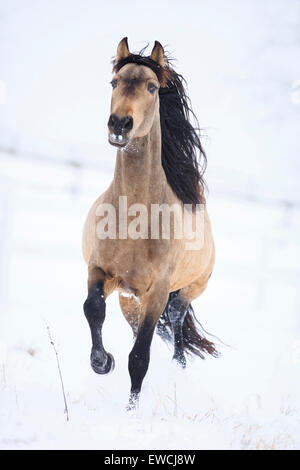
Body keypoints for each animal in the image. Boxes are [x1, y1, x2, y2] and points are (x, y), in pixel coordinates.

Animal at [82, 38, 218, 410]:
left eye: (153, 87)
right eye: (114, 82)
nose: (119, 124)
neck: (134, 221)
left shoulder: (157, 292)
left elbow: (139, 358)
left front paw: (131, 412)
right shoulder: (100, 271)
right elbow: (93, 309)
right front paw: (102, 362)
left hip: (186, 291)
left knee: (177, 327)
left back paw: (178, 372)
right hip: (131, 300)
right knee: (147, 330)